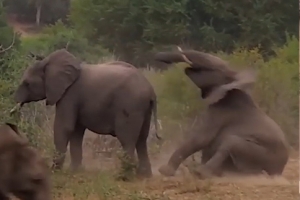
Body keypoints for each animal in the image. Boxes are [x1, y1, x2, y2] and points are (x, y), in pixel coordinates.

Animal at [13, 48, 161, 178]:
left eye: (27, 83)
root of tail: (151, 91)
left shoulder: (70, 95)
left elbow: (65, 127)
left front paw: (54, 171)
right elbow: (76, 132)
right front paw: (75, 171)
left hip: (130, 105)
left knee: (127, 139)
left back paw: (125, 176)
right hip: (143, 109)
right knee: (141, 140)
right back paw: (144, 175)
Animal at [154, 48, 290, 178]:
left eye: (214, 69)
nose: (158, 56)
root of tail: (280, 170)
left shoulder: (222, 111)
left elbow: (202, 139)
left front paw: (164, 171)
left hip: (263, 154)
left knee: (231, 141)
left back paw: (201, 172)